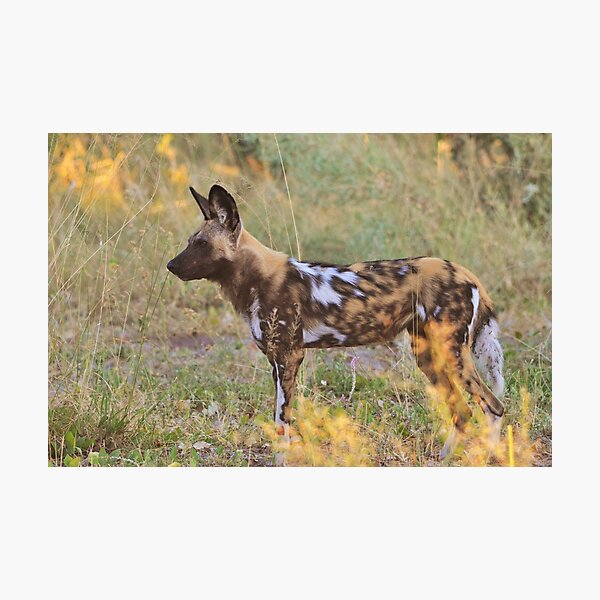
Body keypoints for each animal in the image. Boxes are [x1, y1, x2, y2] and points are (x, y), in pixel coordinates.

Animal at [168, 183, 506, 460]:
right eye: (191, 241)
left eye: (201, 244)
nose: (170, 265)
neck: (257, 278)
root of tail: (467, 273)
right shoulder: (277, 362)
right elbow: (280, 423)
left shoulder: (288, 357)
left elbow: (282, 423)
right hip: (428, 357)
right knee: (463, 412)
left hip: (453, 355)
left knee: (493, 406)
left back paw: (487, 457)